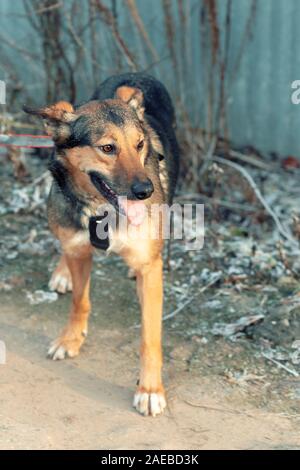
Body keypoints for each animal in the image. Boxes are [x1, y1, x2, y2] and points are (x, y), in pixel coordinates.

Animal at [24, 71, 179, 416]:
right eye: (108, 148)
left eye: (139, 144)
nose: (146, 190)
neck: (102, 210)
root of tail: (133, 74)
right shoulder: (79, 250)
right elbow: (80, 302)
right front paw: (70, 340)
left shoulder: (150, 269)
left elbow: (150, 337)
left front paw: (150, 389)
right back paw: (62, 272)